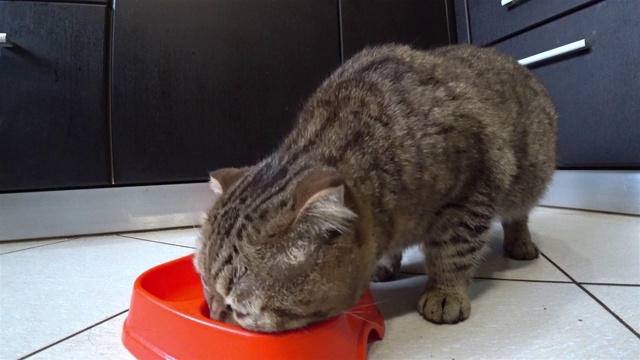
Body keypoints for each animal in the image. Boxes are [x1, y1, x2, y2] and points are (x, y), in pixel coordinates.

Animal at [194, 43, 556, 334]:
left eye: (240, 310)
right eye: (205, 286)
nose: (213, 316)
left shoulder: (473, 190)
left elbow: (454, 251)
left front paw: (445, 291)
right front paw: (386, 264)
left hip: (530, 176)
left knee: (518, 212)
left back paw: (520, 240)